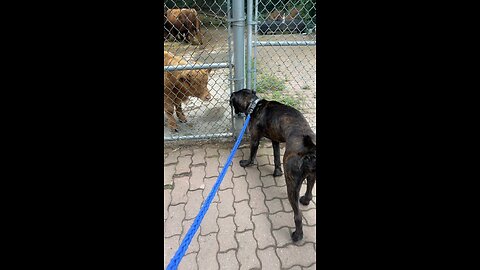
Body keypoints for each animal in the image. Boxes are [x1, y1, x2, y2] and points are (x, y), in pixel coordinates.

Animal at [231, 89, 316, 243]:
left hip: (292, 185)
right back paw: (305, 200)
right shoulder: (275, 141)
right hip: (312, 175)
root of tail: (310, 148)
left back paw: (297, 235)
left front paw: (246, 163)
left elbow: (252, 155)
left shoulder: (254, 138)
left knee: (298, 215)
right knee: (310, 190)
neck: (254, 104)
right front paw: (277, 172)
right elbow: (276, 157)